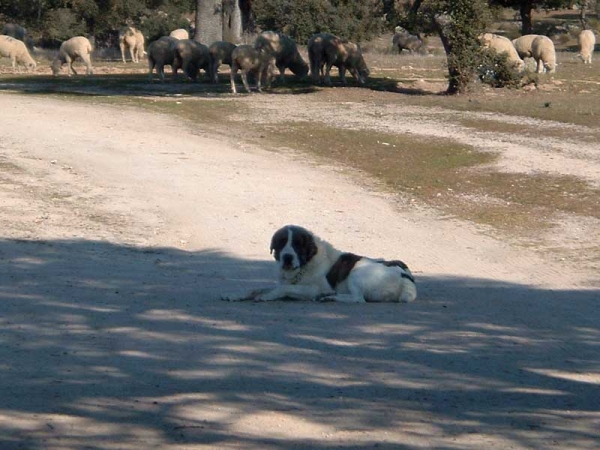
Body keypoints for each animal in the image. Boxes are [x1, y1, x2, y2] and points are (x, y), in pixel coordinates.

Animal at [221, 224, 418, 302]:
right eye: (281, 243)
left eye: (297, 244)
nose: (287, 257)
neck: (306, 264)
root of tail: (406, 277)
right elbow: (256, 288)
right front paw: (236, 294)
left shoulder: (311, 289)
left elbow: (283, 288)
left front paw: (267, 296)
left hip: (357, 272)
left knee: (358, 299)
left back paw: (330, 297)